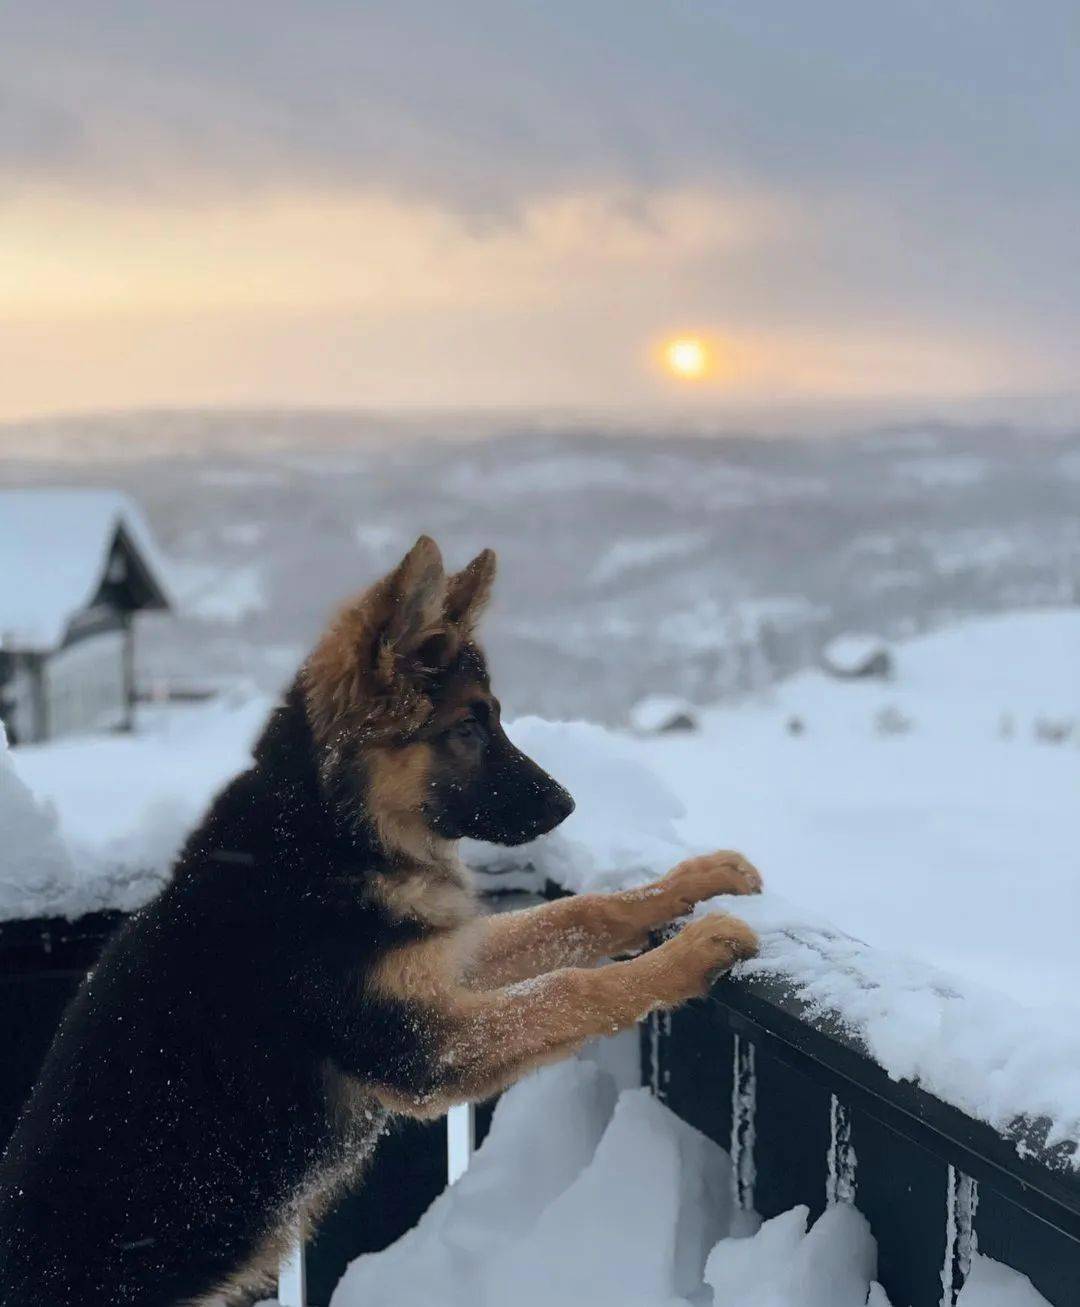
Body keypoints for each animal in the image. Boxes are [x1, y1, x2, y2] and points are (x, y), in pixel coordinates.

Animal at [0, 535, 758, 1301]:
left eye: (496, 716)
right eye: (467, 726)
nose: (567, 803)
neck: (331, 837)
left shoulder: (445, 960)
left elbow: (579, 910)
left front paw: (692, 882)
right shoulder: (421, 1043)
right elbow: (570, 988)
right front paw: (694, 950)